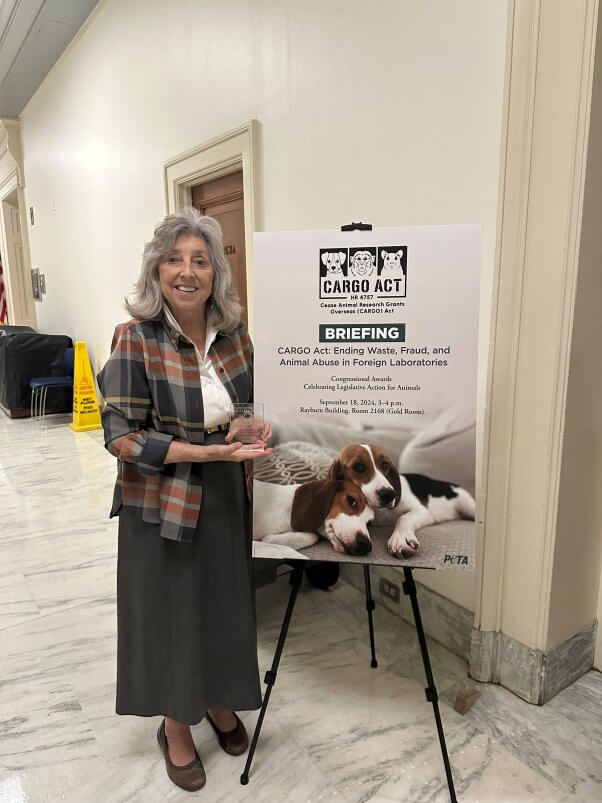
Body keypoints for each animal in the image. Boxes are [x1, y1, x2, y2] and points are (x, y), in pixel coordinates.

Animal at [328, 442, 474, 556]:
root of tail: (454, 485)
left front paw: (401, 538)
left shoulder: (421, 511)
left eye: (385, 464)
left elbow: (403, 518)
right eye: (358, 466)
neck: (380, 513)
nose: (389, 495)